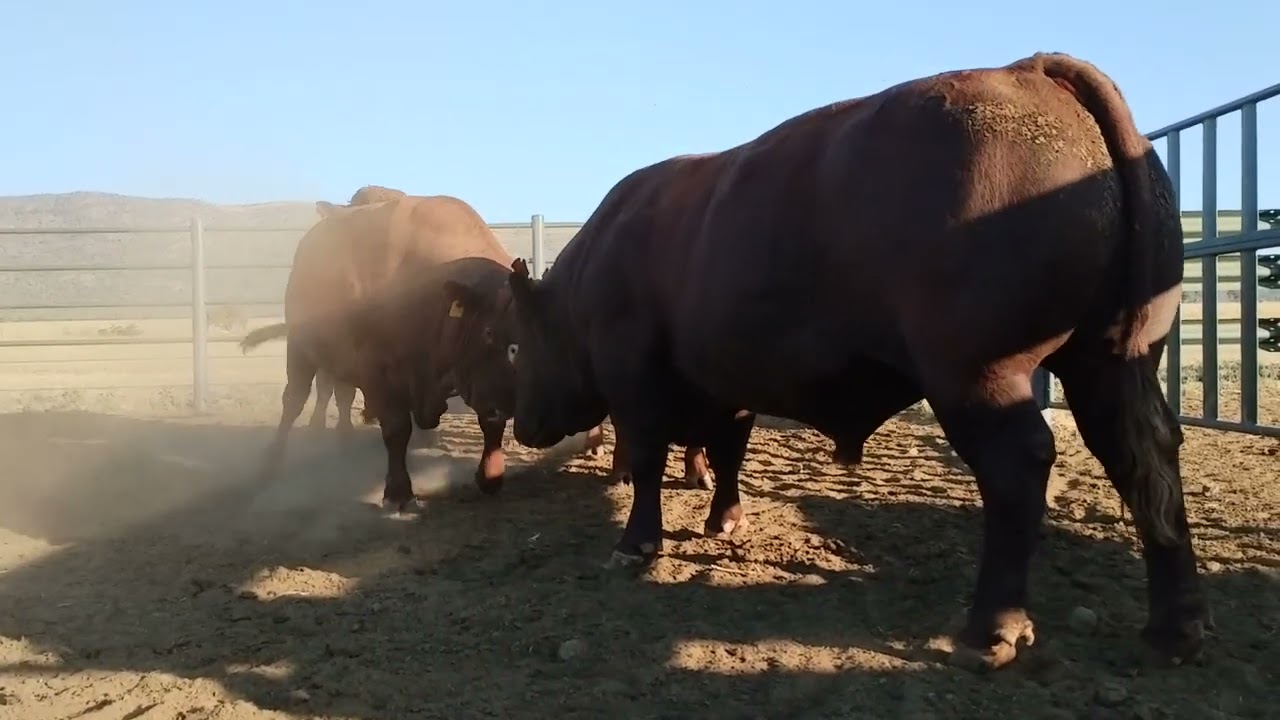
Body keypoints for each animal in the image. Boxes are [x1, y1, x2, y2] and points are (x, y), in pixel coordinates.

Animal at [490, 52, 1209, 671]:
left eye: (518, 344)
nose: (524, 425)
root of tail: (1027, 70)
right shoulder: (731, 382)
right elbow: (728, 452)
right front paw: (725, 518)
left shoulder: (635, 378)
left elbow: (646, 461)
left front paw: (636, 544)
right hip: (1112, 360)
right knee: (1147, 456)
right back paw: (1175, 626)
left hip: (977, 373)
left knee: (1018, 468)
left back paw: (989, 630)